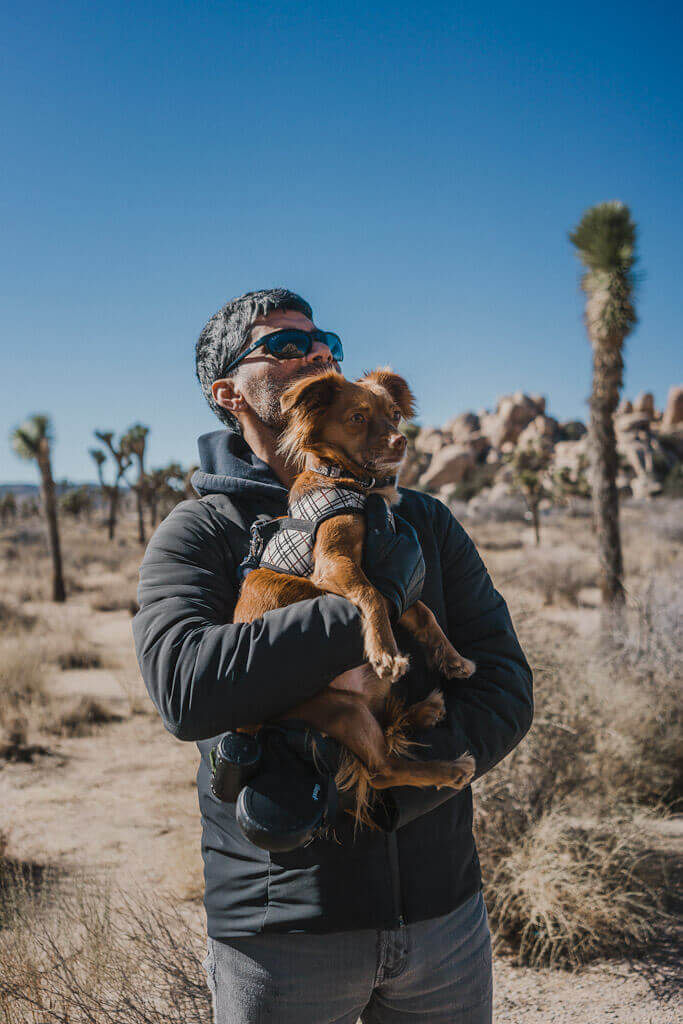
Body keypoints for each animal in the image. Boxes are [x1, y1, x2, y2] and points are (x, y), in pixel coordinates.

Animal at [233, 370, 475, 831]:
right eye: (358, 417)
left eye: (395, 414)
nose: (401, 441)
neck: (350, 481)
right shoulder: (334, 563)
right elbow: (371, 595)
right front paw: (386, 651)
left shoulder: (398, 576)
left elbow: (423, 612)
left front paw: (452, 658)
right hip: (342, 710)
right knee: (382, 769)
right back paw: (449, 769)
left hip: (365, 701)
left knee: (387, 738)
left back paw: (424, 710)